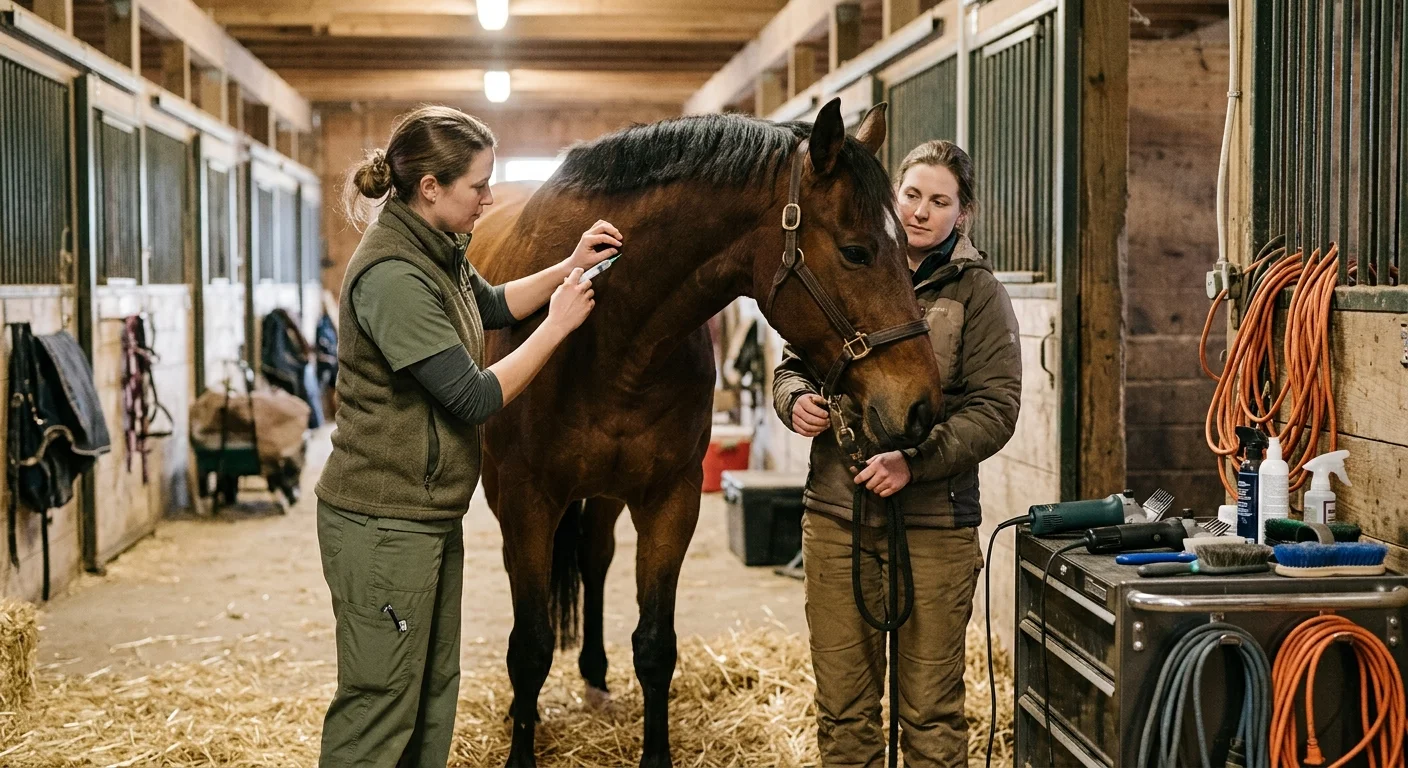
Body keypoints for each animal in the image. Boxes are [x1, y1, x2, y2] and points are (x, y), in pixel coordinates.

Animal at [469, 98, 944, 768]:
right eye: (856, 251)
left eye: (907, 241)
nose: (922, 406)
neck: (609, 336)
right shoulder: (525, 502)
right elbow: (530, 648)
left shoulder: (672, 499)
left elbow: (655, 645)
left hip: (607, 495)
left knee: (594, 558)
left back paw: (595, 677)